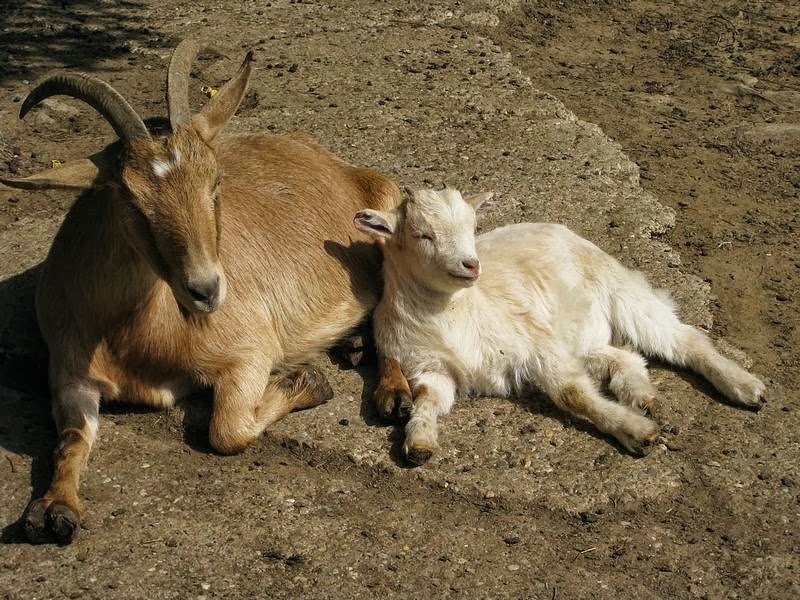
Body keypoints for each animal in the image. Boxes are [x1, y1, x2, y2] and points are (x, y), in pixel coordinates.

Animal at [1, 38, 406, 544]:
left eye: (216, 181)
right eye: (131, 200)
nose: (207, 290)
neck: (138, 338)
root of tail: (338, 164)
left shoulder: (249, 349)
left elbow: (227, 430)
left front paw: (309, 382)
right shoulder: (69, 371)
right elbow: (73, 435)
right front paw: (53, 509)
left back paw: (393, 394)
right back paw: (353, 345)